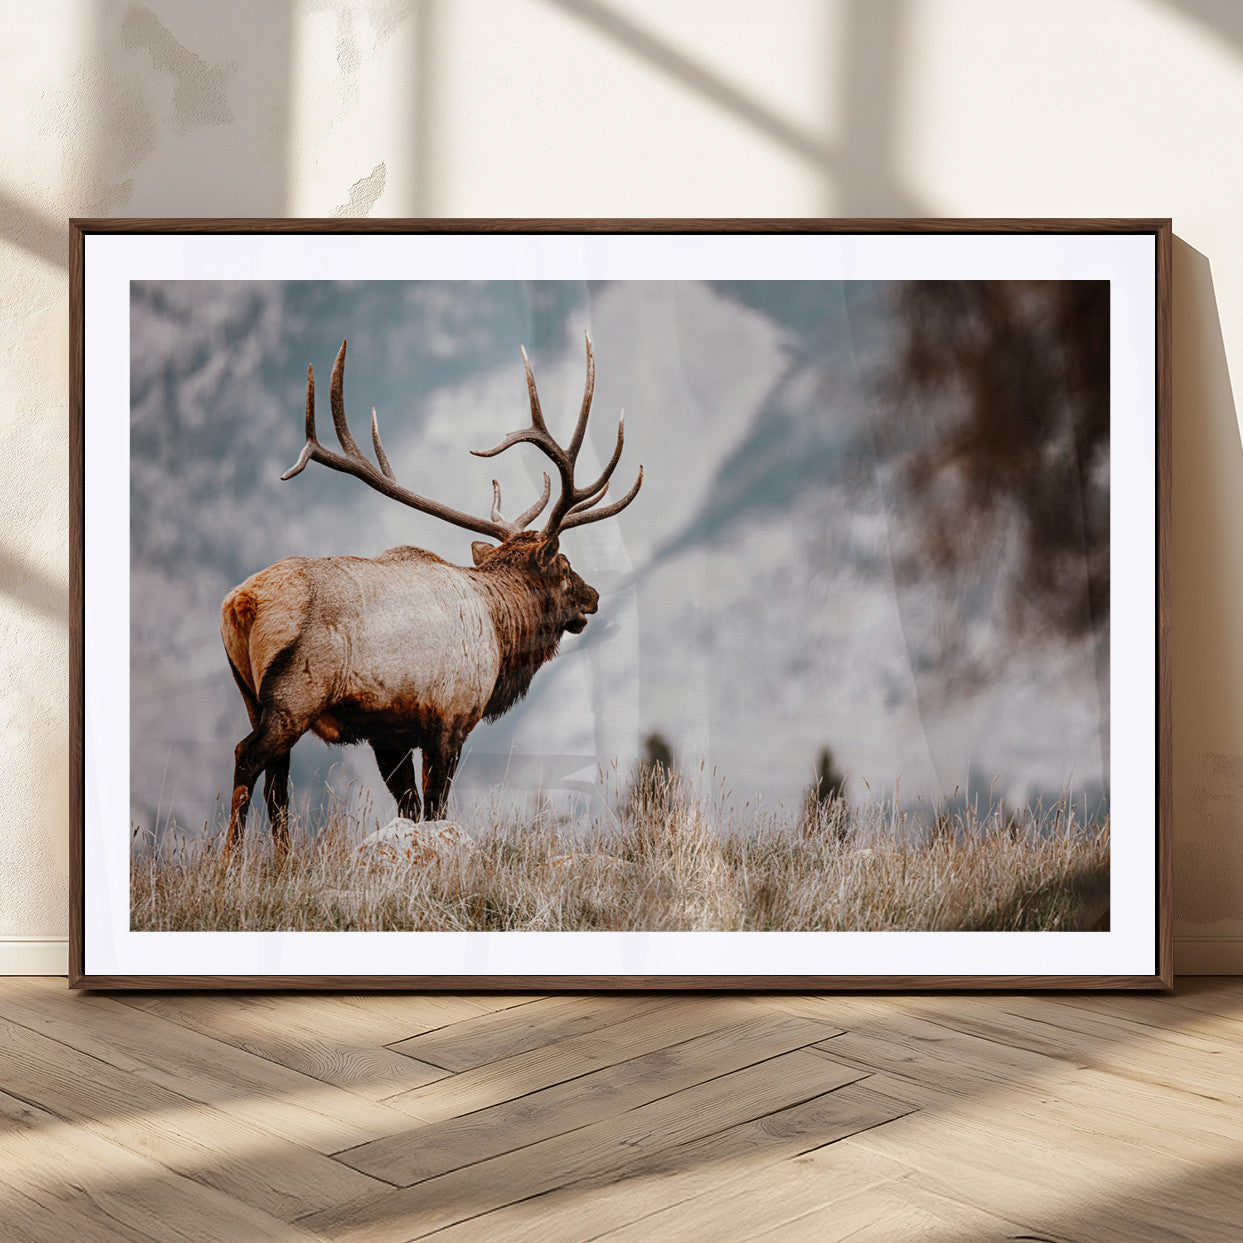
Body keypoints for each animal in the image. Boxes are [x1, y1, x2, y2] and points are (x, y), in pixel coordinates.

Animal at [219, 333, 641, 860]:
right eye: (564, 567)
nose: (593, 596)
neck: (501, 636)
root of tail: (243, 603)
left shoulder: (389, 733)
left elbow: (411, 807)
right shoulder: (452, 717)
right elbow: (437, 807)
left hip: (251, 695)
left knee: (277, 784)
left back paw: (282, 860)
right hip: (294, 695)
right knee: (247, 758)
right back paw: (227, 860)